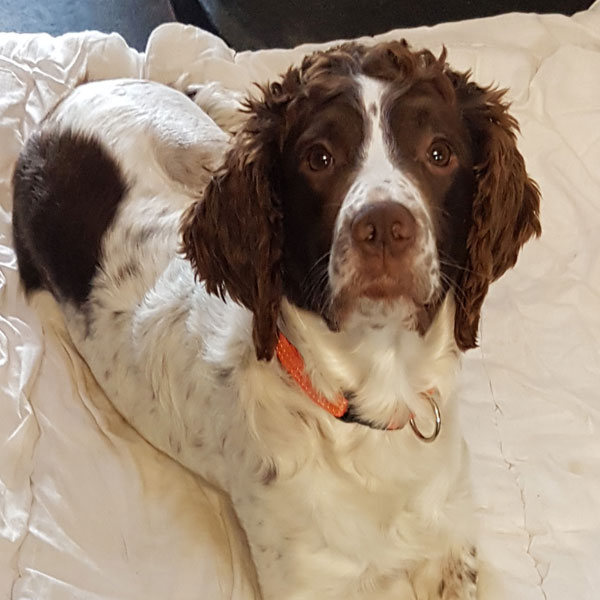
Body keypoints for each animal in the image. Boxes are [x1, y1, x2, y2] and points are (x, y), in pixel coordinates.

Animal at [12, 39, 540, 596]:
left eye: (439, 153)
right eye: (318, 158)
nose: (384, 227)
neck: (371, 407)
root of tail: (73, 97)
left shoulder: (452, 543)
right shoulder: (307, 581)